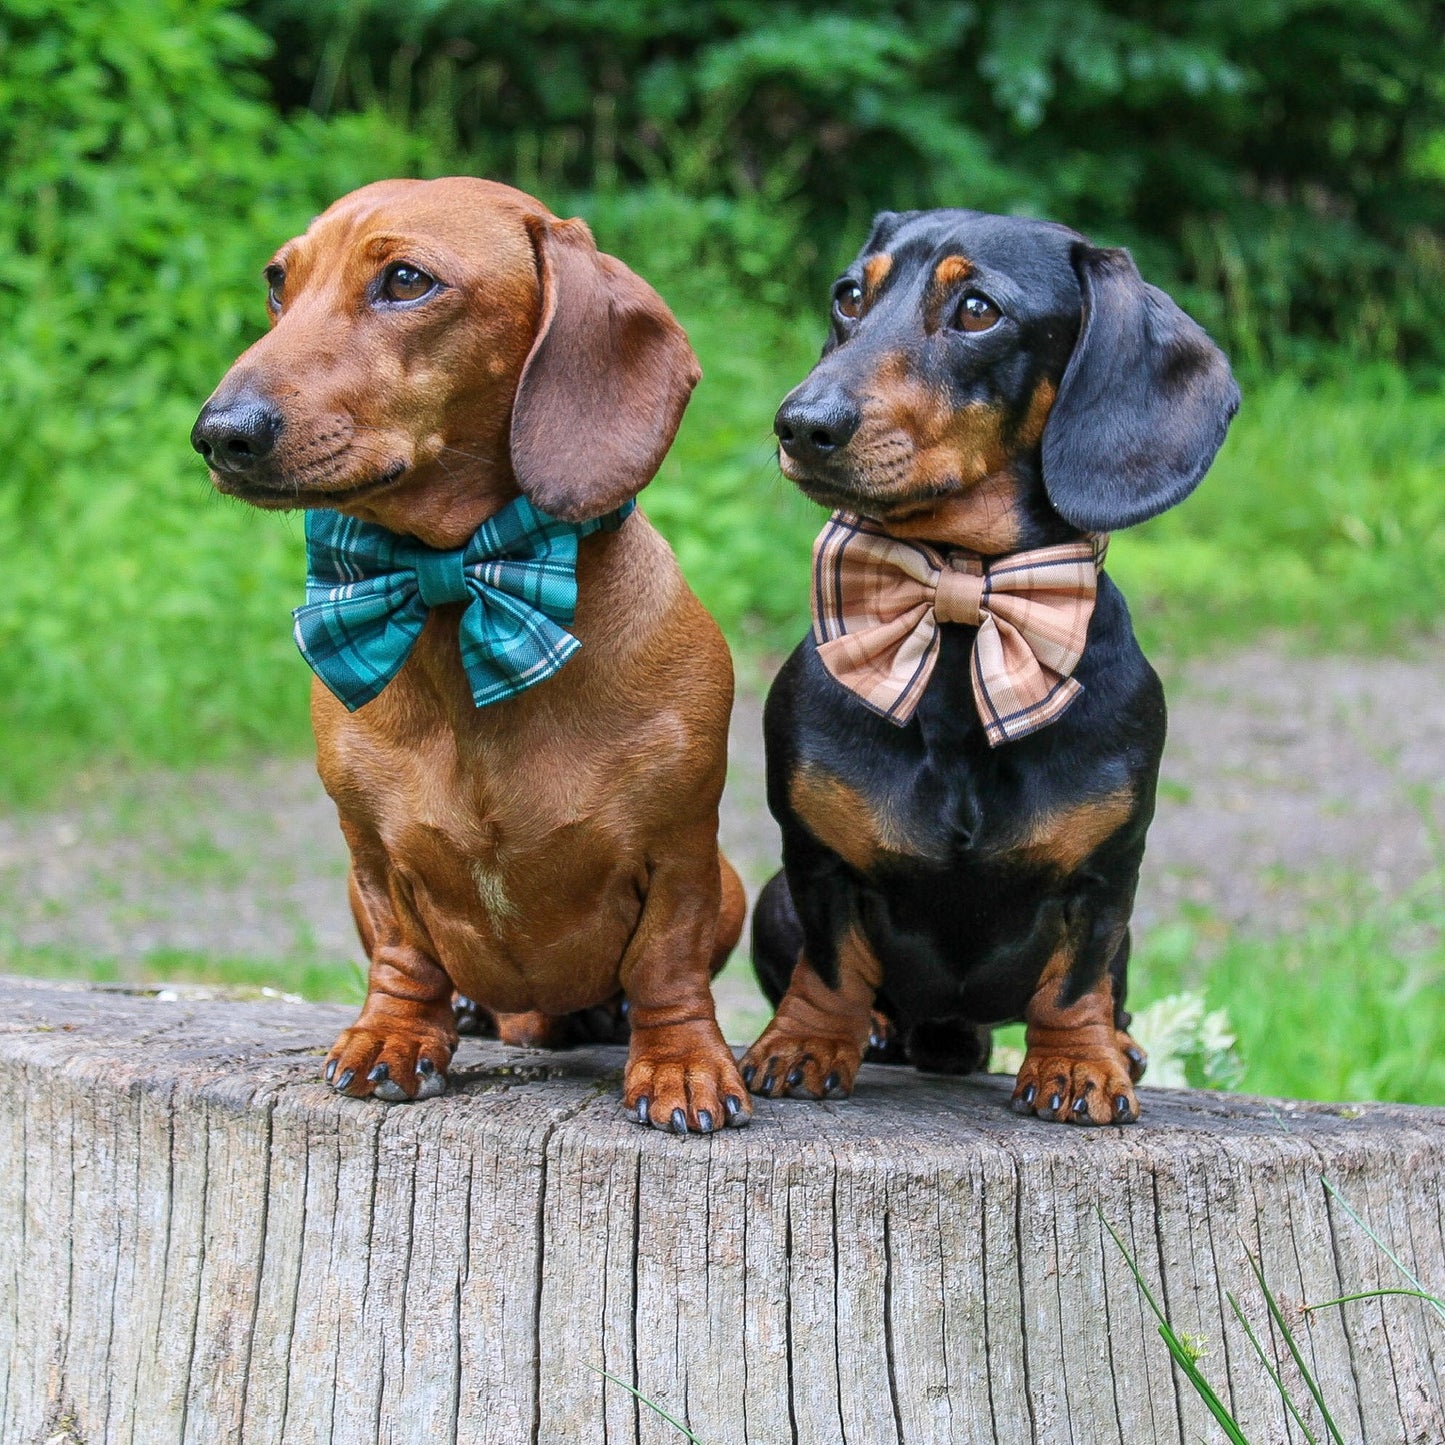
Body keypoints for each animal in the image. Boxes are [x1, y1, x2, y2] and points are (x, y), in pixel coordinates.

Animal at [190, 177, 751, 1127]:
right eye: (277, 281)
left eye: (405, 281)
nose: (219, 433)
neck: (460, 595)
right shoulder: (370, 855)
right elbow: (402, 953)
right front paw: (393, 1035)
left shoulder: (681, 846)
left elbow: (667, 963)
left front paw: (680, 1063)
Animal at [739, 209, 1236, 1121]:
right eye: (849, 295)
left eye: (977, 310)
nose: (800, 424)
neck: (960, 612)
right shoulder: (813, 862)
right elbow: (831, 964)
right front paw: (805, 1043)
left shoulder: (1107, 874)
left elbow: (1074, 979)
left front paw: (1077, 1066)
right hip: (769, 901)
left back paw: (1118, 1043)